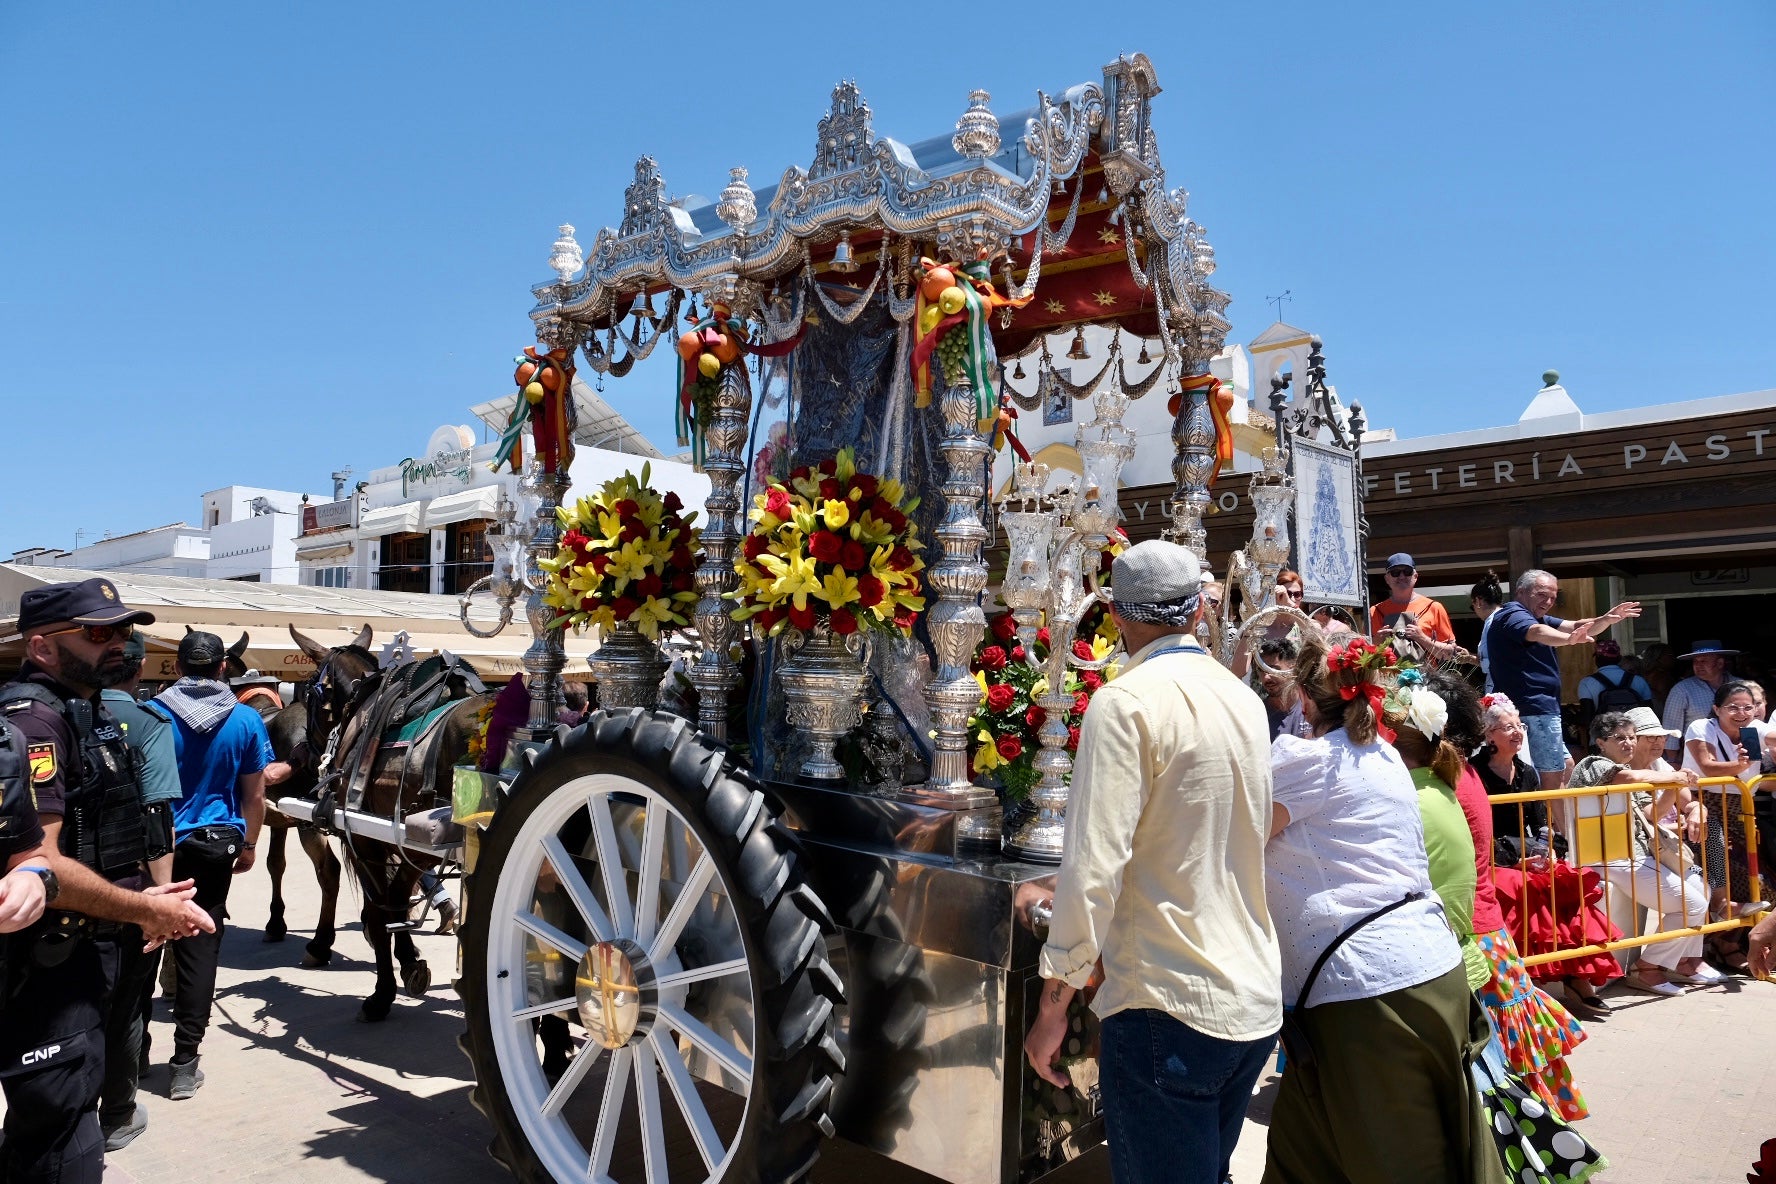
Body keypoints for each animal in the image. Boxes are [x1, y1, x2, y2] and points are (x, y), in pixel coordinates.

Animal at [291, 624, 497, 1022]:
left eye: (309, 692)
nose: (301, 754)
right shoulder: (405, 841)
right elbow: (398, 899)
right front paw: (410, 961)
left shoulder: (365, 839)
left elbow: (380, 909)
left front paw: (381, 993)